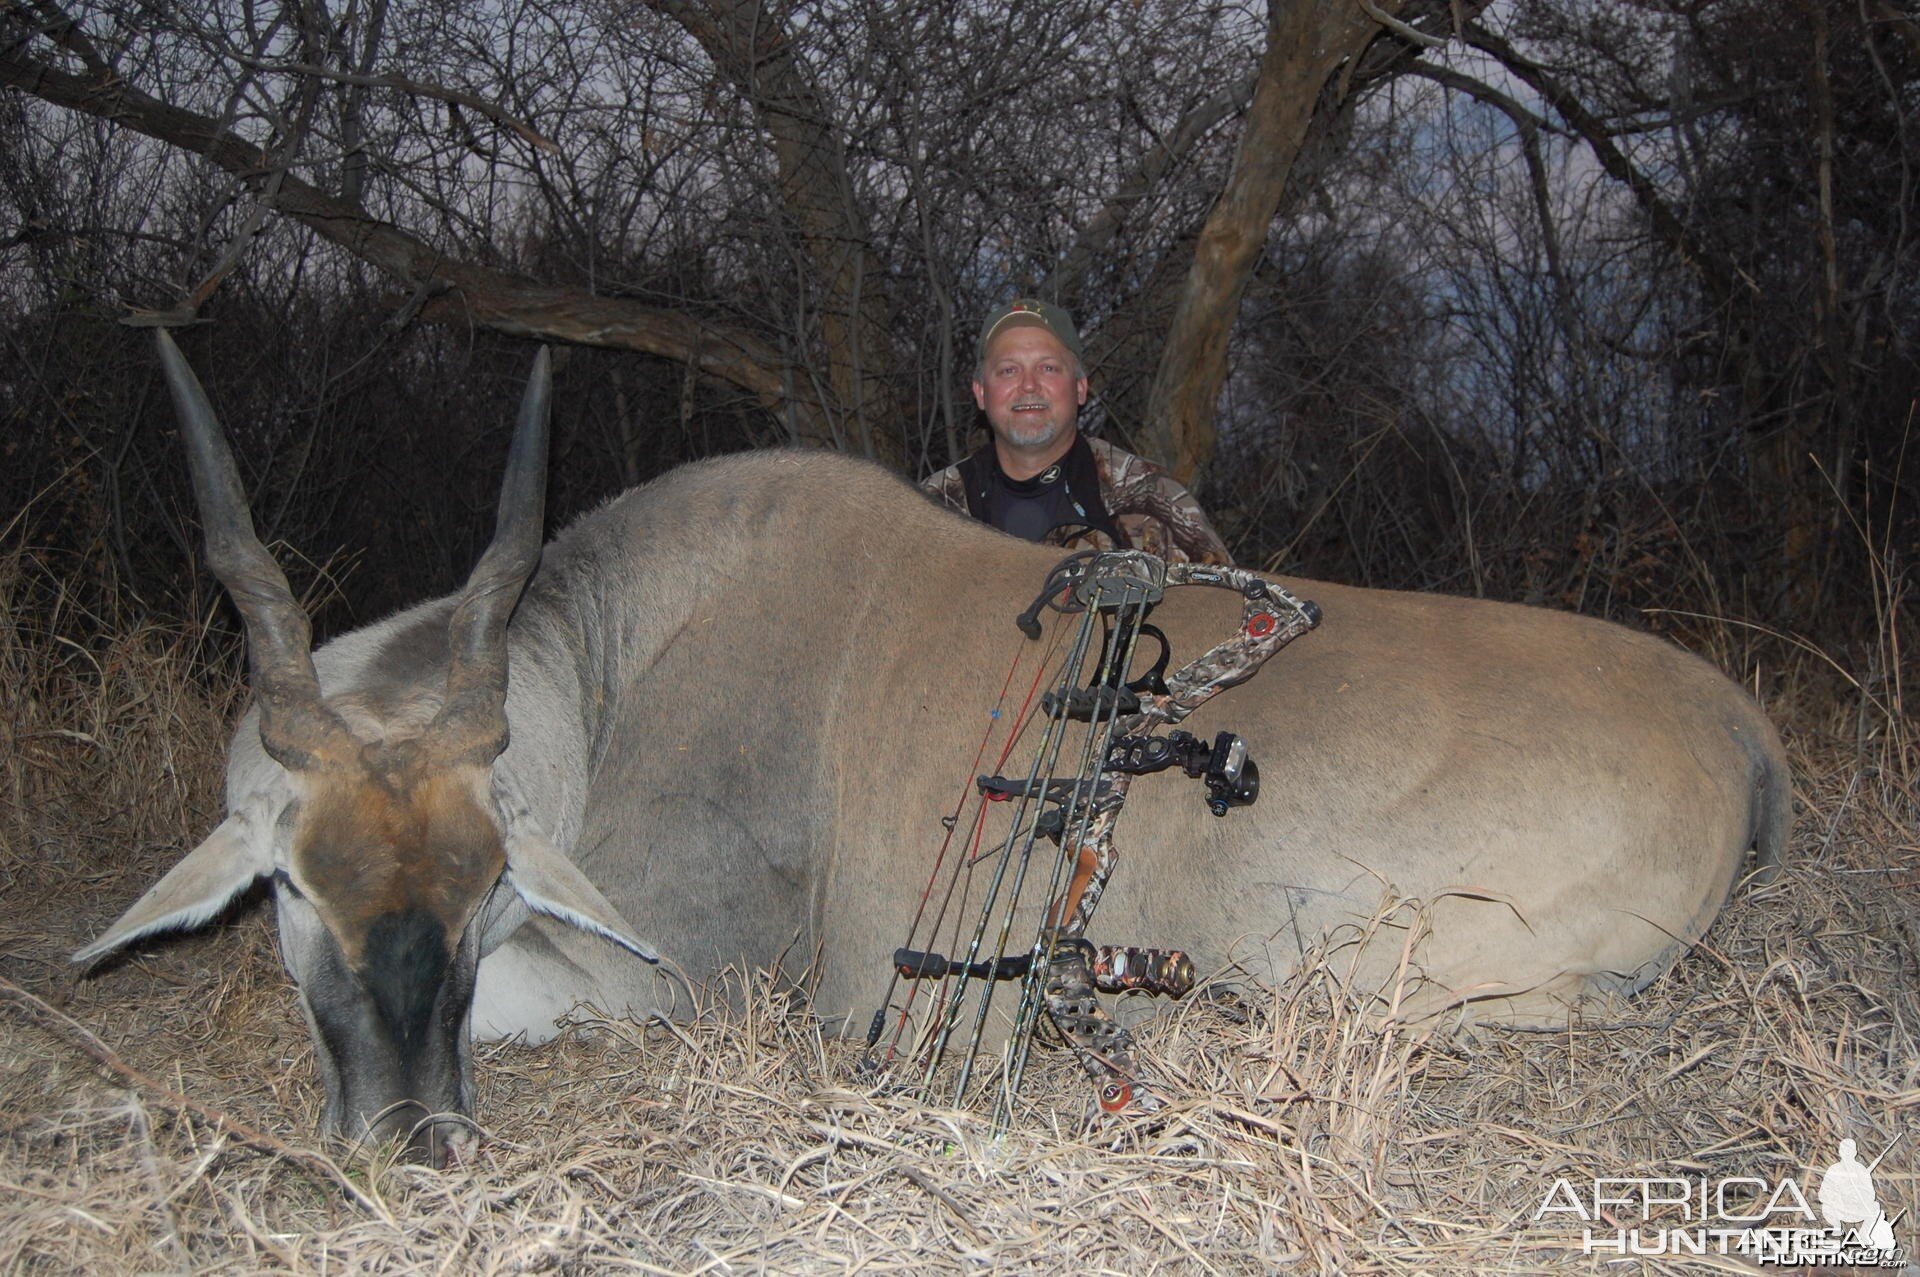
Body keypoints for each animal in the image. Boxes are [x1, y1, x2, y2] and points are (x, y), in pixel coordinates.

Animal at [74, 334, 1781, 1159]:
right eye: (290, 887)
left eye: (489, 877)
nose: (407, 1136)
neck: (611, 667)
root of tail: (1738, 722)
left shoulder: (678, 975)